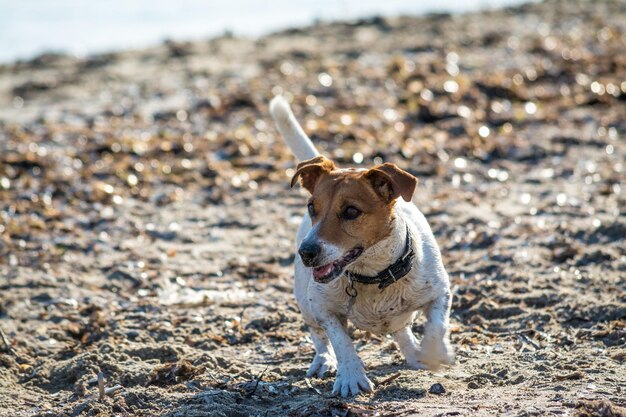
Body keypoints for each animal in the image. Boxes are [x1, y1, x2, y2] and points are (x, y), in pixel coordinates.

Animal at [268, 95, 454, 396]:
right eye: (312, 207)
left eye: (351, 211)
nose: (306, 253)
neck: (372, 275)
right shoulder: (323, 308)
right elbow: (341, 342)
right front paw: (350, 377)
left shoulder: (440, 293)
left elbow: (437, 325)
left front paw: (435, 352)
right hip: (306, 304)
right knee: (319, 338)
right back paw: (324, 361)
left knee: (402, 330)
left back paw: (415, 353)